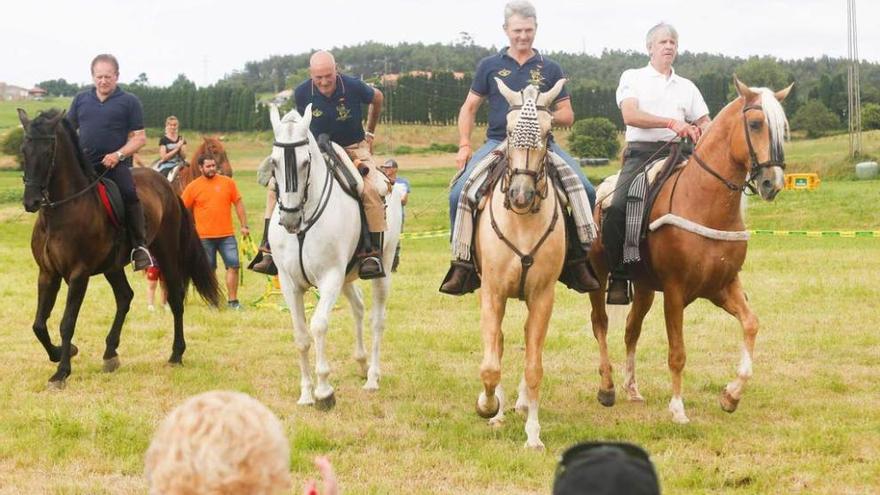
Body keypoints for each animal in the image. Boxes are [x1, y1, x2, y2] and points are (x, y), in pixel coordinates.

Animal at [18, 109, 220, 392]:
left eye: (48, 152)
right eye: (24, 150)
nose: (31, 201)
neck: (61, 211)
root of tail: (166, 186)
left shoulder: (78, 275)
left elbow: (66, 323)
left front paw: (61, 372)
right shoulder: (47, 273)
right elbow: (38, 324)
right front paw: (63, 354)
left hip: (166, 252)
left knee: (175, 298)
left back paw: (176, 354)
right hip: (112, 266)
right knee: (125, 296)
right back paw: (110, 353)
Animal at [264, 104, 402, 410]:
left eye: (305, 162)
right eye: (274, 163)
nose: (289, 219)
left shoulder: (330, 278)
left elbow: (318, 326)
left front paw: (324, 391)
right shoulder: (290, 284)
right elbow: (301, 336)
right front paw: (306, 394)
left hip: (381, 269)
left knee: (377, 319)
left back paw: (372, 377)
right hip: (348, 277)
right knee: (359, 307)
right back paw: (362, 363)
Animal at [470, 79, 568, 452]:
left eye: (549, 131)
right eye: (511, 130)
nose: (521, 194)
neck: (523, 220)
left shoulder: (542, 296)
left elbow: (534, 367)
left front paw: (533, 435)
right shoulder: (493, 292)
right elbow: (490, 364)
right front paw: (489, 407)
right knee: (496, 342)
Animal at [588, 76, 796, 422]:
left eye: (784, 128)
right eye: (755, 124)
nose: (772, 183)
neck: (702, 201)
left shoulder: (722, 285)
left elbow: (751, 324)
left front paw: (731, 395)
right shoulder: (675, 292)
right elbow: (677, 353)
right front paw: (677, 409)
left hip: (644, 287)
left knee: (631, 329)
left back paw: (632, 388)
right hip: (600, 276)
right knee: (600, 324)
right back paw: (607, 387)